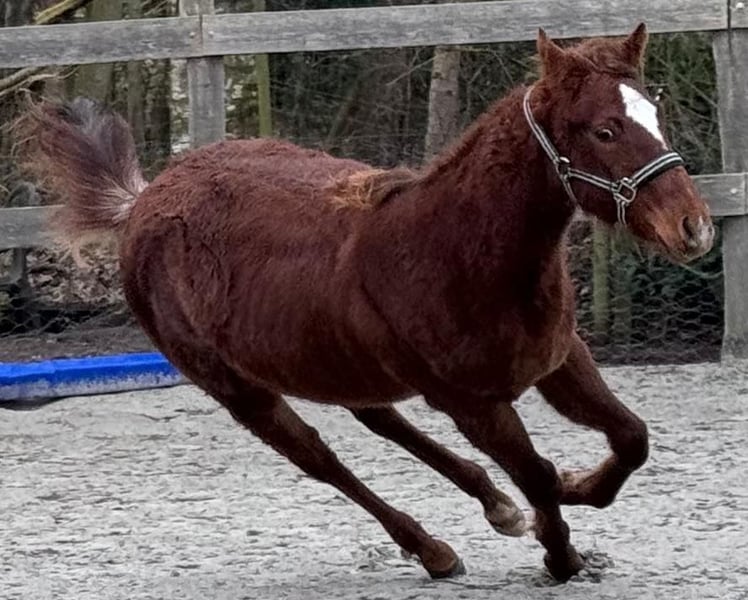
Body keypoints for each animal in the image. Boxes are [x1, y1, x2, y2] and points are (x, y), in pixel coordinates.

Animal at [18, 23, 713, 582]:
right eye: (605, 129)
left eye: (655, 113)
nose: (694, 227)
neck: (454, 248)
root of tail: (142, 201)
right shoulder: (471, 403)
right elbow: (537, 471)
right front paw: (561, 554)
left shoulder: (560, 359)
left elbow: (632, 436)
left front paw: (576, 490)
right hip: (236, 386)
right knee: (319, 458)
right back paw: (434, 550)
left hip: (332, 357)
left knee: (378, 419)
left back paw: (494, 507)